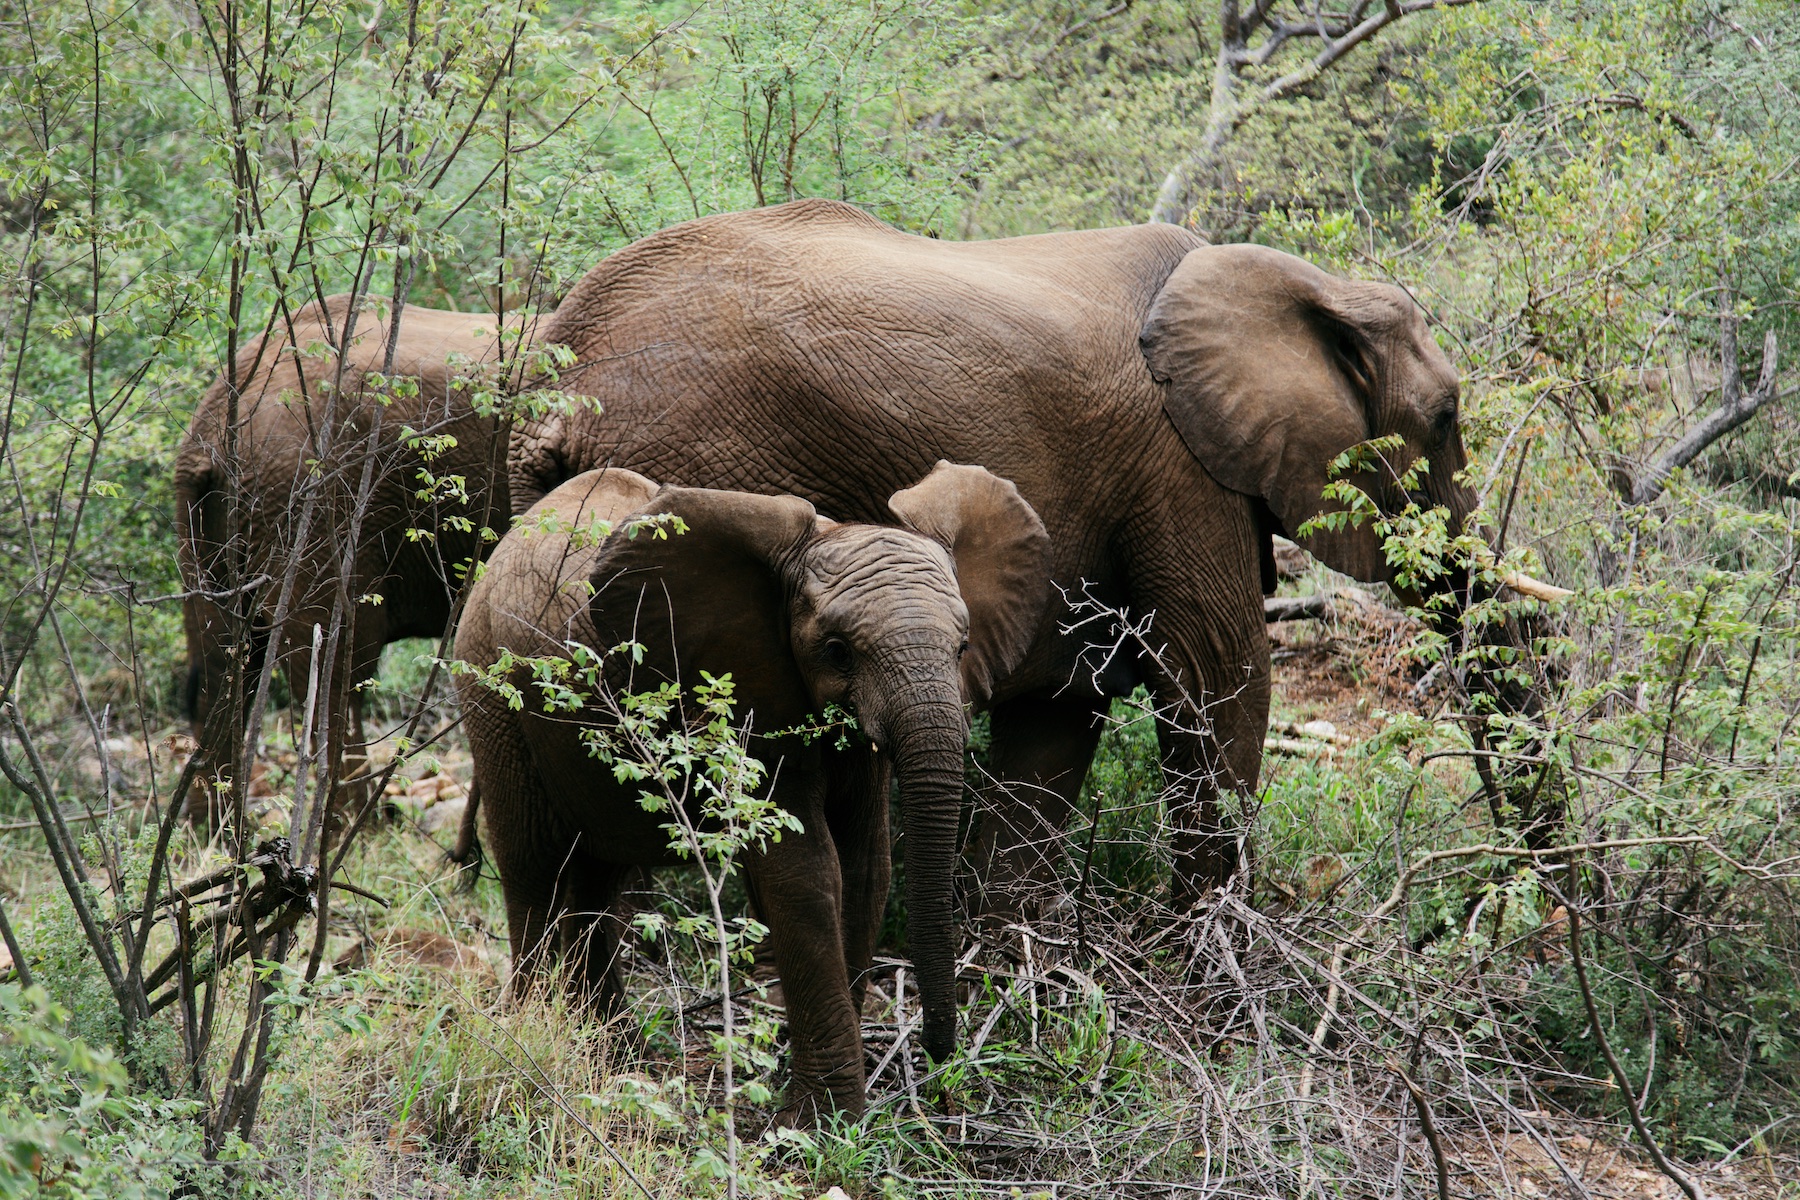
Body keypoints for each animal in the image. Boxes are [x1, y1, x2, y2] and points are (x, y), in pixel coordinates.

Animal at [177, 295, 522, 831]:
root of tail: (214, 420)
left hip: (207, 521)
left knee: (224, 661)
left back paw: (209, 832)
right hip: (314, 503)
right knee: (337, 662)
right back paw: (350, 829)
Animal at [457, 464, 1051, 1129]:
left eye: (962, 647)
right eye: (838, 651)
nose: (938, 1053)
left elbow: (866, 866)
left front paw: (823, 1104)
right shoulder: (748, 693)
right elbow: (806, 871)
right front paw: (819, 1122)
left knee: (595, 878)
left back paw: (612, 1055)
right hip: (492, 690)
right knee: (533, 865)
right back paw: (536, 1037)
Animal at [514, 197, 1540, 910]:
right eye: (1445, 418)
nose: (1500, 896)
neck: (1306, 286)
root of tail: (558, 378)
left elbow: (1059, 714)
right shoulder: (1177, 467)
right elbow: (1218, 680)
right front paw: (1217, 990)